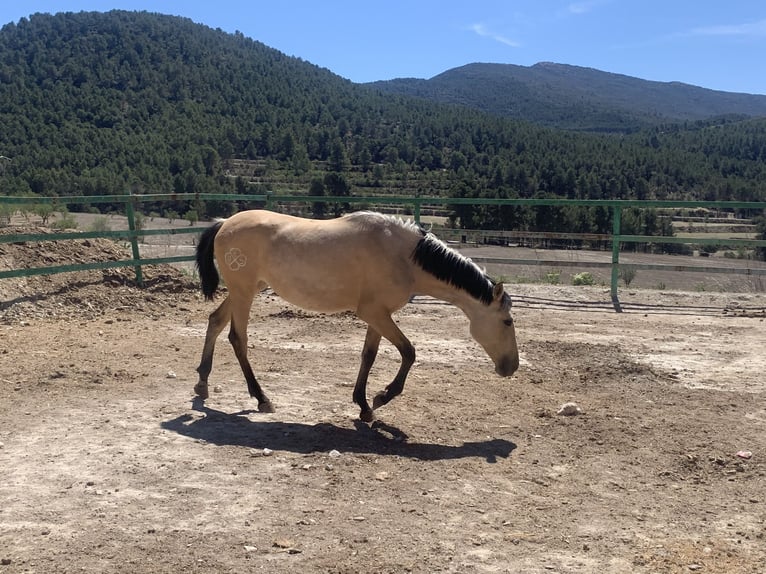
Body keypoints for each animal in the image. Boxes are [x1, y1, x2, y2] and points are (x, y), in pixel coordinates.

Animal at [194, 212, 520, 424]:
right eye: (507, 321)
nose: (511, 367)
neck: (403, 255)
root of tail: (224, 224)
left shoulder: (378, 314)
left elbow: (369, 355)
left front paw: (363, 405)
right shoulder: (374, 313)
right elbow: (409, 352)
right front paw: (383, 396)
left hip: (245, 291)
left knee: (215, 321)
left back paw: (202, 384)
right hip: (244, 293)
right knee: (237, 338)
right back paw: (261, 398)